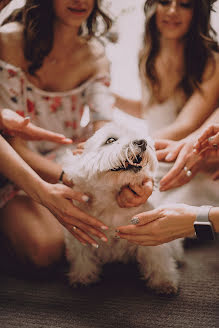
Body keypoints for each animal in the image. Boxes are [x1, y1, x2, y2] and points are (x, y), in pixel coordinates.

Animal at [62, 123, 183, 294]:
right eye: (110, 140)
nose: (143, 142)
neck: (111, 204)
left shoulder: (150, 234)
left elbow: (158, 260)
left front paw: (164, 281)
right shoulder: (80, 235)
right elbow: (82, 258)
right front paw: (82, 278)